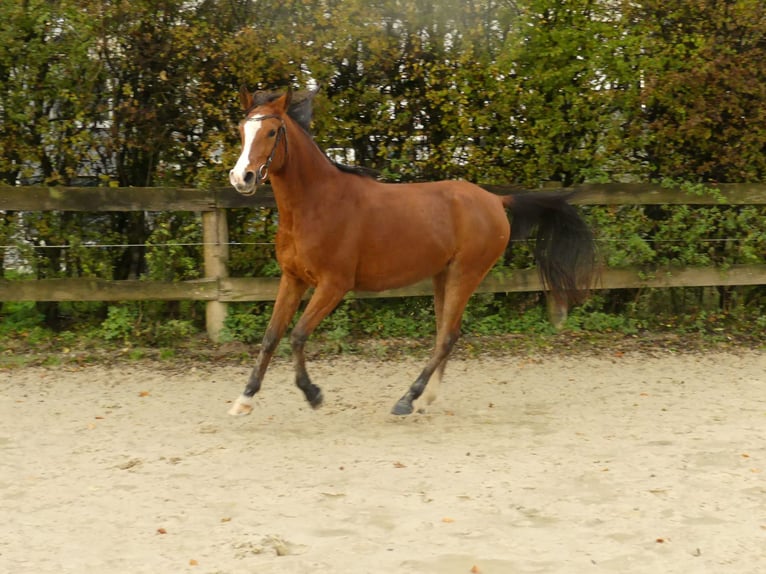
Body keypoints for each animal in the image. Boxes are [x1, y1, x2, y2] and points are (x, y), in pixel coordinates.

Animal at [225, 86, 596, 418]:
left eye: (272, 131)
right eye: (242, 130)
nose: (241, 178)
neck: (316, 203)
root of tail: (495, 200)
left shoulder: (333, 285)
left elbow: (298, 335)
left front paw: (313, 394)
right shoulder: (293, 278)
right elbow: (271, 336)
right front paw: (244, 399)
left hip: (466, 273)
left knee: (447, 336)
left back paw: (407, 399)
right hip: (443, 275)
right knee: (446, 333)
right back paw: (423, 399)